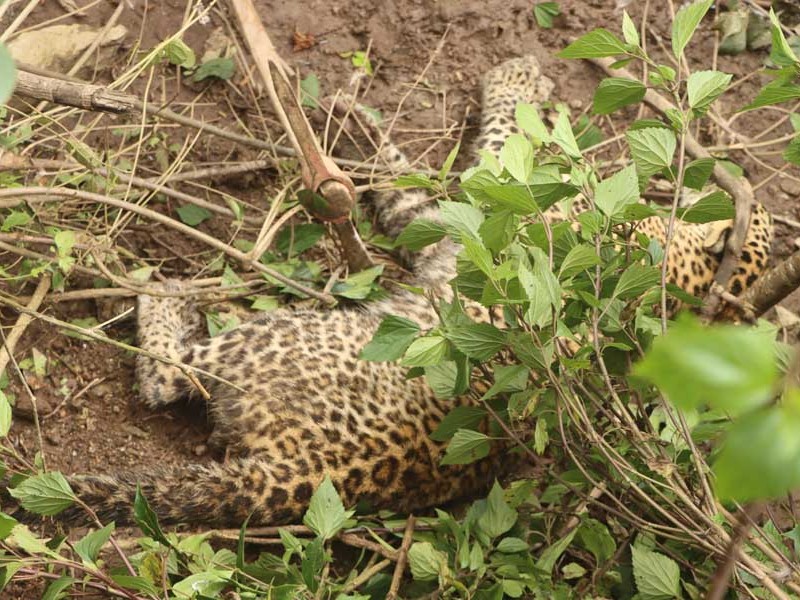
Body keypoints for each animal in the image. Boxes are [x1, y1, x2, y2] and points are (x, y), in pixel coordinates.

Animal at [42, 55, 768, 524]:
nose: (730, 177)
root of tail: (309, 476)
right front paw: (359, 125)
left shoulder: (474, 206)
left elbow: (493, 143)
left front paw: (513, 80)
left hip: (283, 334)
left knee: (166, 377)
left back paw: (163, 297)